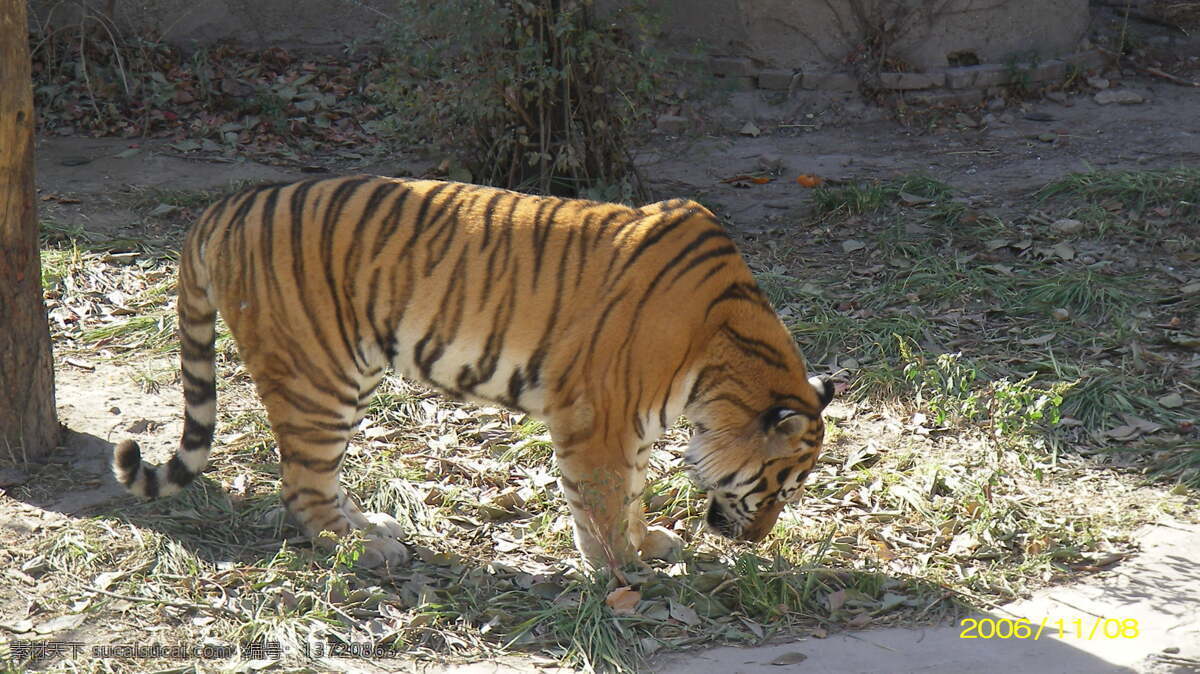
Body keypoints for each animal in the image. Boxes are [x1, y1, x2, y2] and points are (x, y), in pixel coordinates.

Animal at [112, 175, 834, 571]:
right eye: (777, 487)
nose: (757, 541)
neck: (717, 371)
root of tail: (224, 206)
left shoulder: (633, 423)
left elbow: (633, 488)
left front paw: (645, 544)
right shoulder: (597, 416)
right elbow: (604, 496)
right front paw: (621, 571)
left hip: (349, 373)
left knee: (316, 477)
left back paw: (373, 528)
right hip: (318, 375)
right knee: (301, 485)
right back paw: (363, 551)